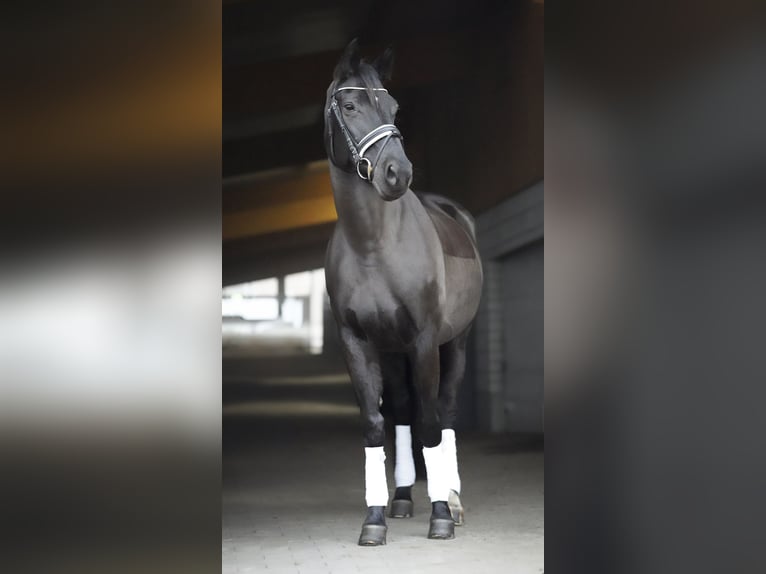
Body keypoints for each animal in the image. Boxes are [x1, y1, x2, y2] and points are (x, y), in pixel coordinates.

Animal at [326, 41, 484, 548]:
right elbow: (376, 426)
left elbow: (430, 424)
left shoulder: (424, 340)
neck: (373, 244)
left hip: (455, 343)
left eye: (394, 107)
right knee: (399, 411)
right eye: (350, 106)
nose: (397, 174)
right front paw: (374, 519)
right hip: (393, 351)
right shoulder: (357, 343)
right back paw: (399, 499)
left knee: (445, 411)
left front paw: (440, 516)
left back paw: (453, 499)